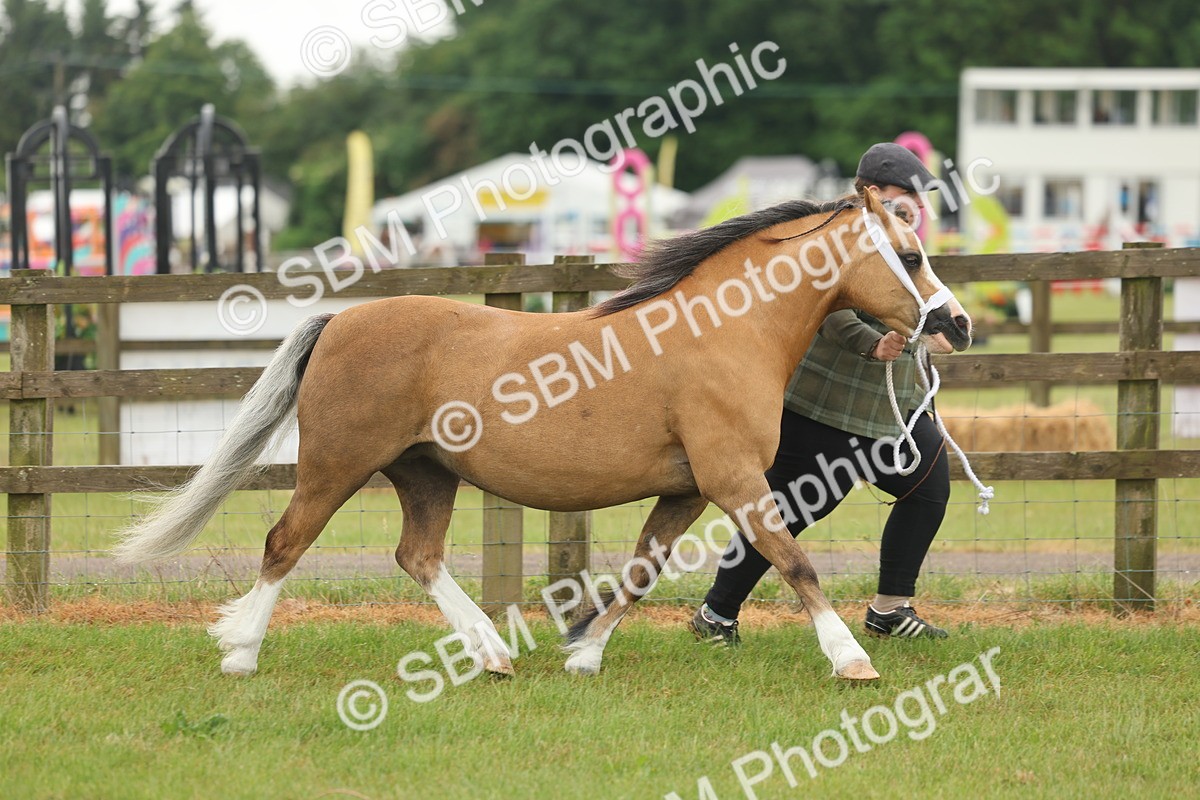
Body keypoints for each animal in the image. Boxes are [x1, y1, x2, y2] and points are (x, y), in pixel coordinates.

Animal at [113, 187, 972, 682]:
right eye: (909, 254)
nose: (957, 324)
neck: (724, 333)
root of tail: (340, 321)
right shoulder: (734, 480)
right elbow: (794, 561)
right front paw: (852, 659)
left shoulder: (689, 491)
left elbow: (641, 571)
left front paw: (584, 655)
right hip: (336, 465)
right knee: (284, 543)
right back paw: (240, 654)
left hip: (426, 472)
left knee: (418, 557)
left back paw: (492, 656)